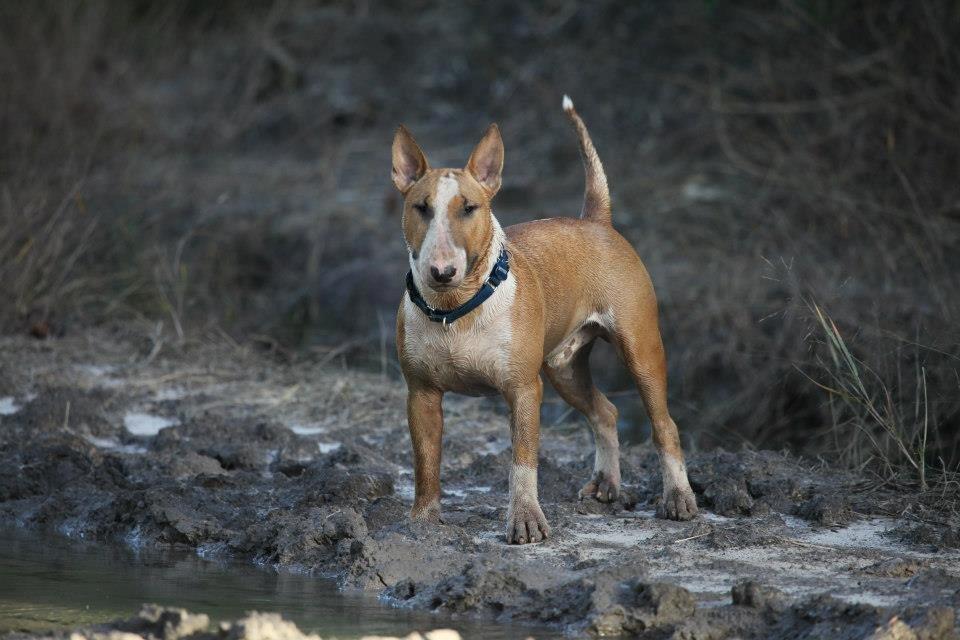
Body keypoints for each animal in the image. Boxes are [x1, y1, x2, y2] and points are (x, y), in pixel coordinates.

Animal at [392, 96, 696, 544]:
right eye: (421, 208)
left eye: (469, 208)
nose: (441, 271)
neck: (456, 309)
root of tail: (596, 220)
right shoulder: (421, 394)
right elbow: (426, 461)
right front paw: (423, 521)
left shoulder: (523, 389)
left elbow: (522, 461)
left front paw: (525, 522)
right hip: (563, 367)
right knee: (605, 411)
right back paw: (606, 484)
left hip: (641, 349)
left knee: (664, 424)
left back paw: (678, 498)